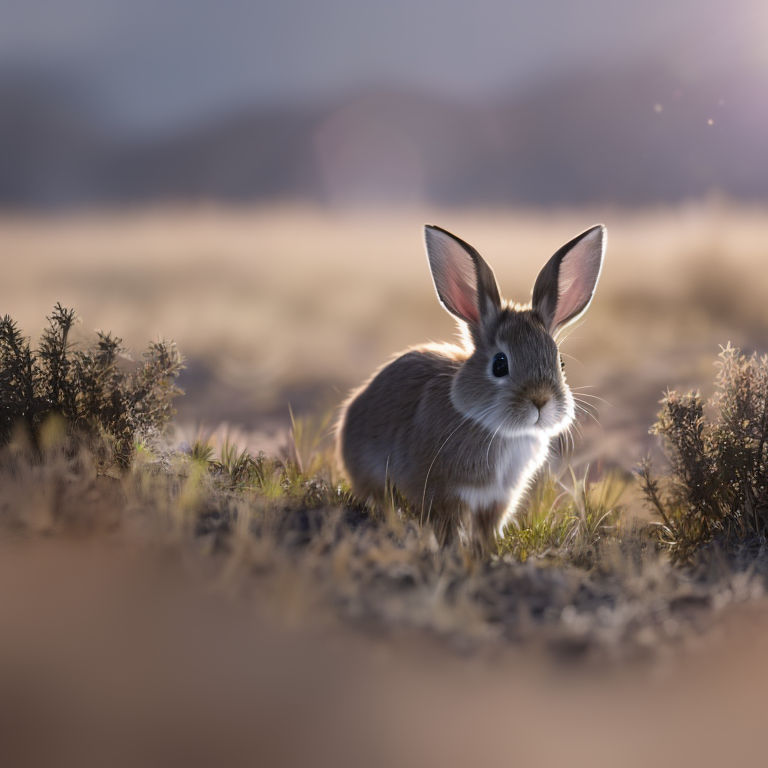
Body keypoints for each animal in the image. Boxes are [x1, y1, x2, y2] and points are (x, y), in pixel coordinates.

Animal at [337, 223, 606, 551]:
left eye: (561, 363)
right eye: (500, 364)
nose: (540, 400)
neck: (502, 431)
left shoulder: (499, 498)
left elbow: (487, 527)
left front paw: (490, 551)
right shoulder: (442, 493)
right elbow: (447, 527)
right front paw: (453, 551)